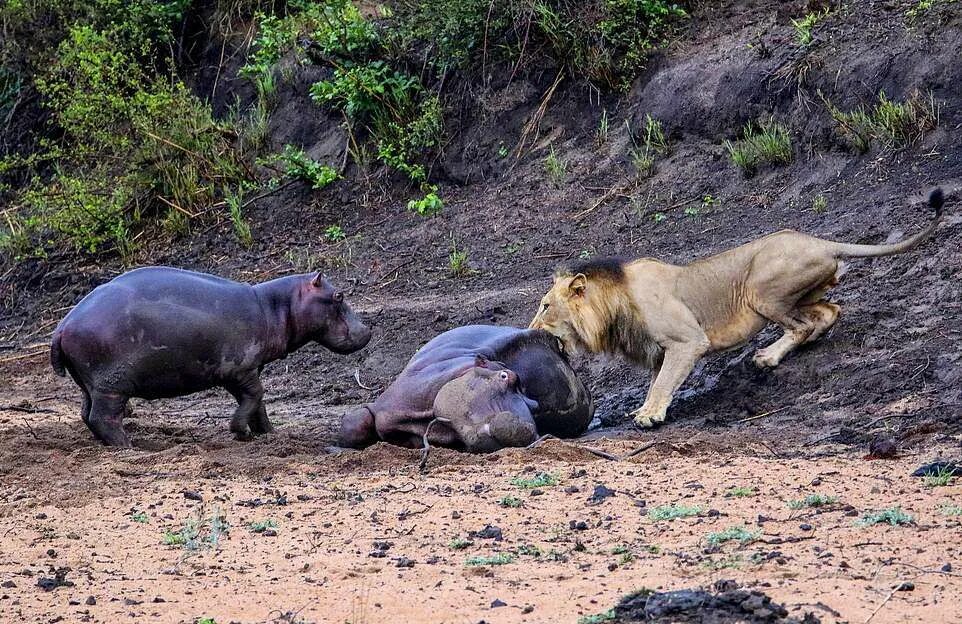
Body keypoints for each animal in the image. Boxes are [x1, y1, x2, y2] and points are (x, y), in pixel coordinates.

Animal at [48, 266, 374, 446]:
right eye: (339, 296)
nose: (368, 330)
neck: (275, 306)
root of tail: (63, 325)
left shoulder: (244, 370)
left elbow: (258, 403)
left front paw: (268, 434)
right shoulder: (240, 369)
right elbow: (256, 396)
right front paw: (241, 432)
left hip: (90, 383)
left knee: (86, 414)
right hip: (112, 385)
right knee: (102, 417)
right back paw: (130, 446)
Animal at [532, 188, 944, 426]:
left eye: (545, 305)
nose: (531, 330)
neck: (613, 305)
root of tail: (821, 242)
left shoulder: (687, 341)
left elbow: (663, 381)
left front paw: (649, 415)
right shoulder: (659, 350)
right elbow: (657, 380)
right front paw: (646, 409)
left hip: (761, 289)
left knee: (802, 324)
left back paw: (767, 357)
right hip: (800, 293)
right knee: (829, 312)